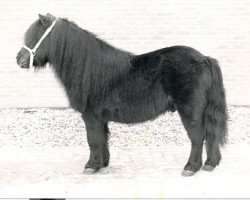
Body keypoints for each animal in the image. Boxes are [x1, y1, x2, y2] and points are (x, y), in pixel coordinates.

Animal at [15, 13, 228, 177]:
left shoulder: (90, 116)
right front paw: (101, 164)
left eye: (36, 36)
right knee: (211, 133)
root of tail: (204, 58)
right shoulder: (100, 118)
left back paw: (191, 167)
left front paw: (90, 166)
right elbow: (102, 138)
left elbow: (92, 140)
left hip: (190, 110)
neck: (89, 68)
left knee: (198, 137)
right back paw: (210, 164)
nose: (18, 59)